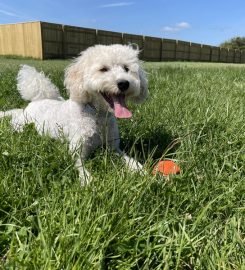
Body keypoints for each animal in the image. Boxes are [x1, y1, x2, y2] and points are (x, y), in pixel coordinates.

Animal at [0, 44, 148, 185]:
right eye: (103, 69)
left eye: (126, 69)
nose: (124, 83)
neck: (97, 115)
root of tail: (37, 100)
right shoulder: (77, 150)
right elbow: (79, 166)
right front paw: (87, 180)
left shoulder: (113, 148)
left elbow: (128, 159)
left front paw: (139, 169)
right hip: (23, 123)